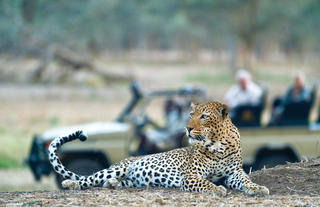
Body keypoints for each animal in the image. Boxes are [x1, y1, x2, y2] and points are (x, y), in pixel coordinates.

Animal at [48, 101, 268, 196]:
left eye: (204, 116)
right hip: (118, 167)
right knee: (88, 179)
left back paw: (112, 184)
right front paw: (216, 189)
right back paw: (70, 184)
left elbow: (246, 180)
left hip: (130, 179)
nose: (187, 128)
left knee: (112, 182)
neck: (218, 144)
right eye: (191, 114)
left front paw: (258, 188)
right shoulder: (191, 176)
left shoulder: (234, 173)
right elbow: (205, 183)